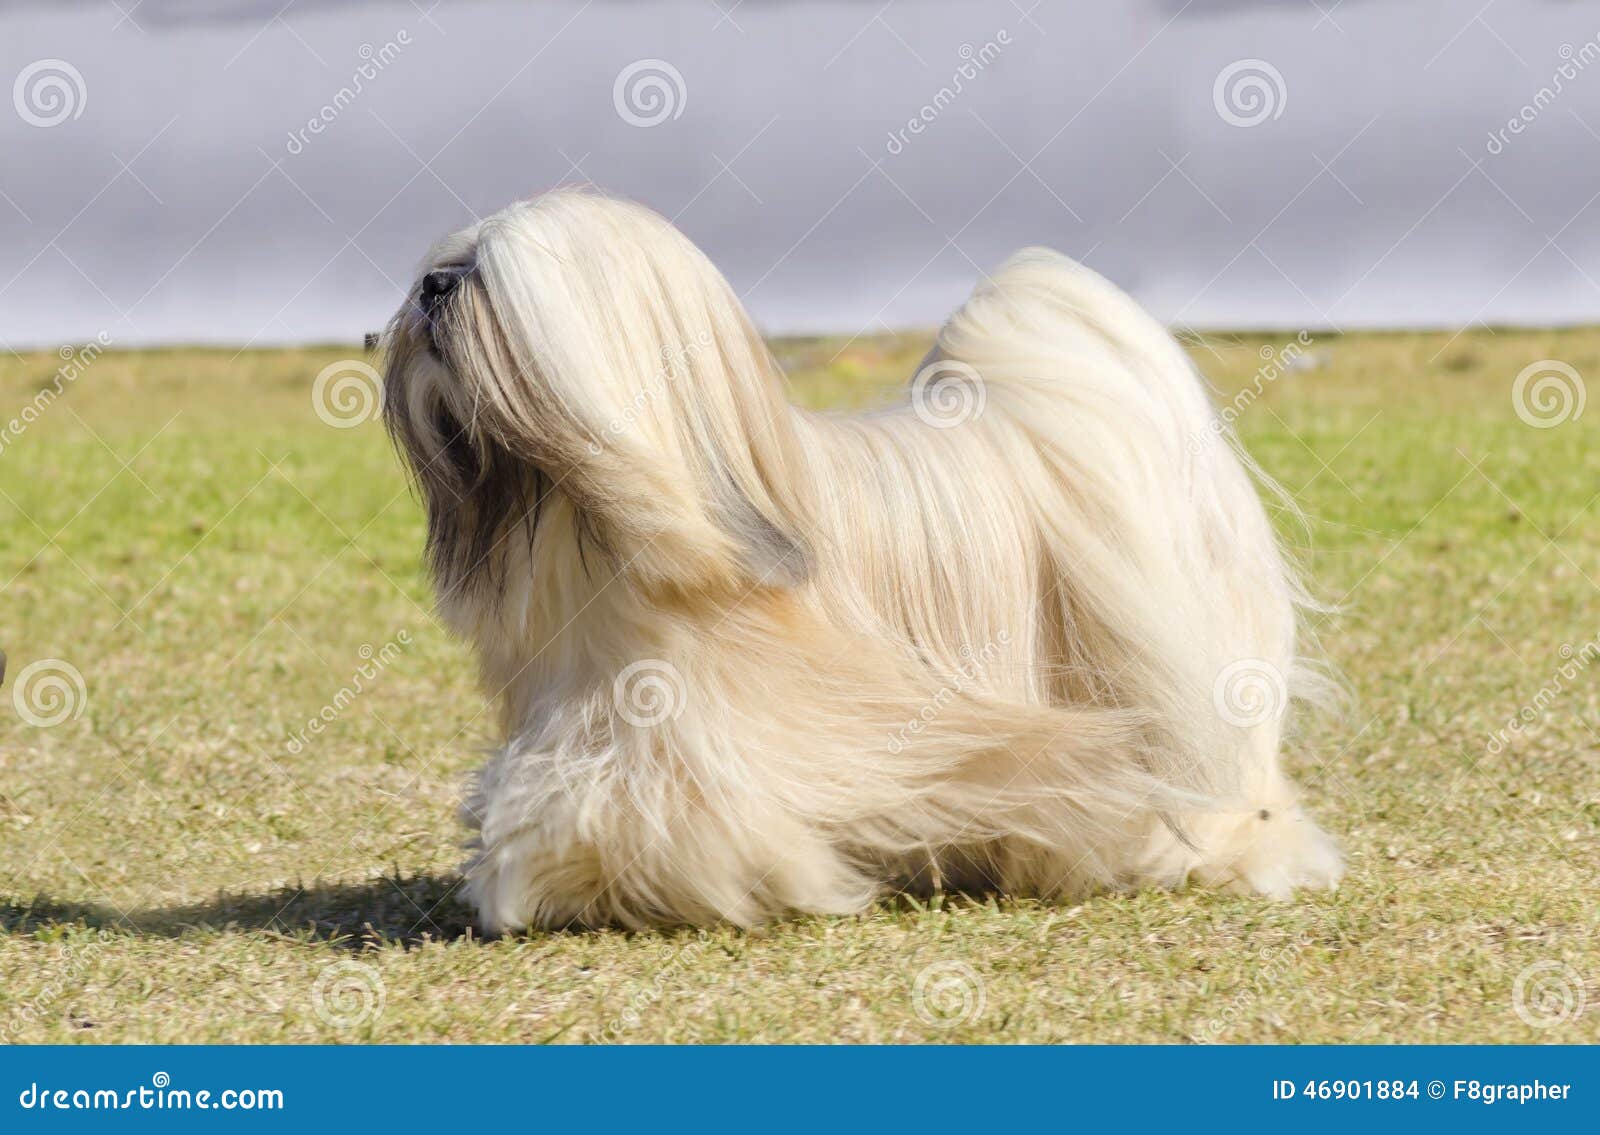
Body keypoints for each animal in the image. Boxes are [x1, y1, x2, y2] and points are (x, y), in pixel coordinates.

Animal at [380, 188, 1344, 928]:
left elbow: (610, 806)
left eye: (488, 276)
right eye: (448, 261)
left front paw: (539, 877)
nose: (429, 285)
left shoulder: (691, 727)